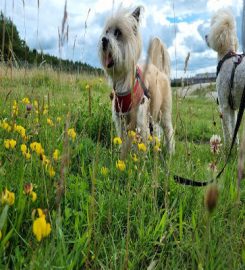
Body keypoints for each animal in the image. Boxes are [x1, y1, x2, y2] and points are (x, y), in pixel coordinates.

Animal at [99, 6, 174, 154]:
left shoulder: (140, 122)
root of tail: (158, 69)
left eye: (118, 33)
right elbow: (124, 142)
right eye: (107, 31)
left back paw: (170, 153)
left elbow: (141, 147)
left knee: (169, 131)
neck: (123, 81)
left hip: (164, 112)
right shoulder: (120, 121)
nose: (104, 40)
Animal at [206, 9, 244, 147]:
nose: (205, 36)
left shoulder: (224, 105)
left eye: (212, 25)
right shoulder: (232, 106)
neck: (227, 56)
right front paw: (235, 146)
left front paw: (228, 149)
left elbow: (227, 131)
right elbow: (234, 129)